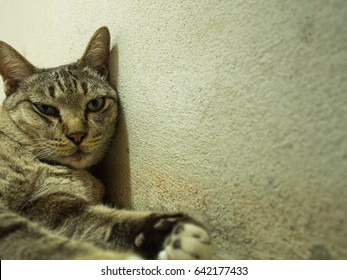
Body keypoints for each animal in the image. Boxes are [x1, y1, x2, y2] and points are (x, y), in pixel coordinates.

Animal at [0, 27, 212, 260]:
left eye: (95, 104)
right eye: (46, 109)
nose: (77, 135)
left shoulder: (49, 203)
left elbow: (100, 219)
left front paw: (167, 232)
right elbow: (45, 246)